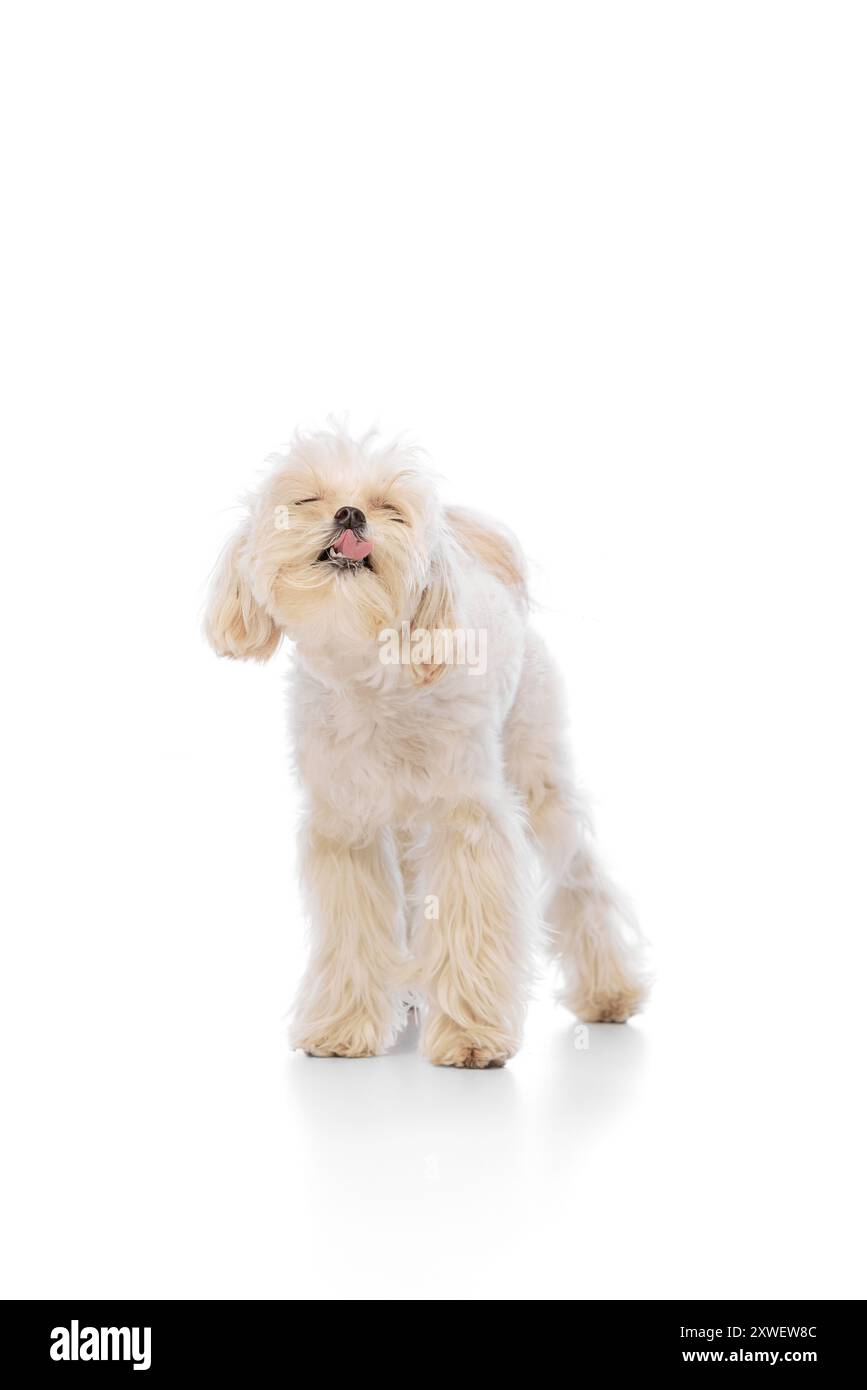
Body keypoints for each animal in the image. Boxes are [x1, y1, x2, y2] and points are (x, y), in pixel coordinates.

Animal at [207, 428, 647, 1067]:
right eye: (308, 499)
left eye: (390, 507)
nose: (350, 513)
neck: (372, 675)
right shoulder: (346, 826)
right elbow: (355, 930)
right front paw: (343, 1027)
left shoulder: (467, 819)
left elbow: (468, 920)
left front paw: (470, 1036)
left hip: (538, 777)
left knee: (581, 881)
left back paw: (608, 991)